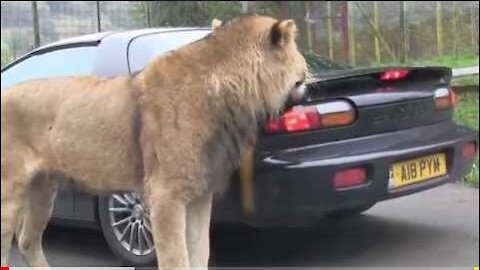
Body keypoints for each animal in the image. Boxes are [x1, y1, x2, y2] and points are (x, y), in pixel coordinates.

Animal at [0, 15, 308, 268]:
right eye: (298, 54)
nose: (309, 75)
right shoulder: (165, 196)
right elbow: (176, 258)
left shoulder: (199, 196)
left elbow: (200, 252)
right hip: (9, 190)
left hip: (43, 187)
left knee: (27, 240)